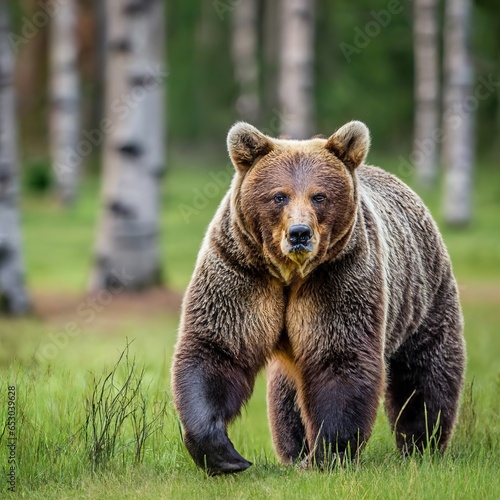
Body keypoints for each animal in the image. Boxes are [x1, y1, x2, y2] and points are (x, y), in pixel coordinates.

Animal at [171, 119, 464, 474]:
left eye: (319, 196)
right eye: (279, 196)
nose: (299, 233)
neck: (290, 273)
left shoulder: (339, 275)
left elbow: (338, 355)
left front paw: (328, 454)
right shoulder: (241, 267)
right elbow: (219, 345)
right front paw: (224, 454)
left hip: (423, 296)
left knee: (426, 372)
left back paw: (423, 444)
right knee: (287, 395)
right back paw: (294, 449)